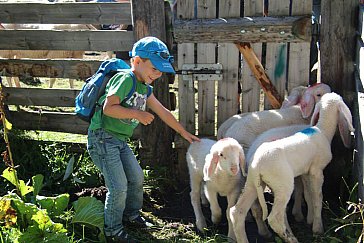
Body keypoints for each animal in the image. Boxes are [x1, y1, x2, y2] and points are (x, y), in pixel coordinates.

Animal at [232, 92, 354, 242]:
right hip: (283, 185)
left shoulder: (306, 172)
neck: (323, 130)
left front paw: (310, 219)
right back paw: (292, 238)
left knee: (238, 212)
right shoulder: (317, 171)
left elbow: (308, 194)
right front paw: (318, 228)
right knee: (275, 218)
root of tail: (257, 165)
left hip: (252, 183)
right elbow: (318, 197)